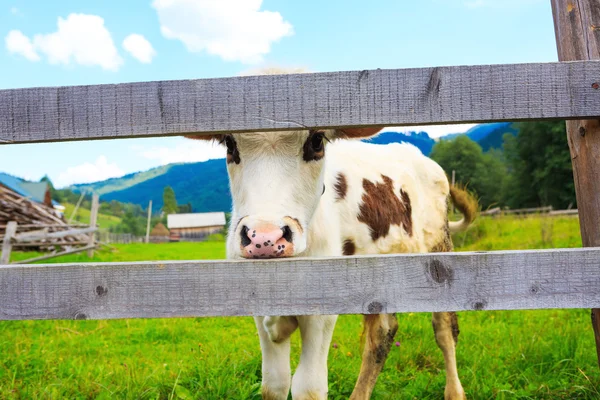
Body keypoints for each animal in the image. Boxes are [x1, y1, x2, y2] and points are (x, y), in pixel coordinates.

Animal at [185, 129, 476, 400]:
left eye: (316, 142)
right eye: (230, 144)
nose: (265, 238)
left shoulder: (321, 311)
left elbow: (309, 387)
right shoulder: (257, 308)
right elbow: (274, 383)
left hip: (439, 252)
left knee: (445, 329)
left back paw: (454, 391)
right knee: (381, 336)